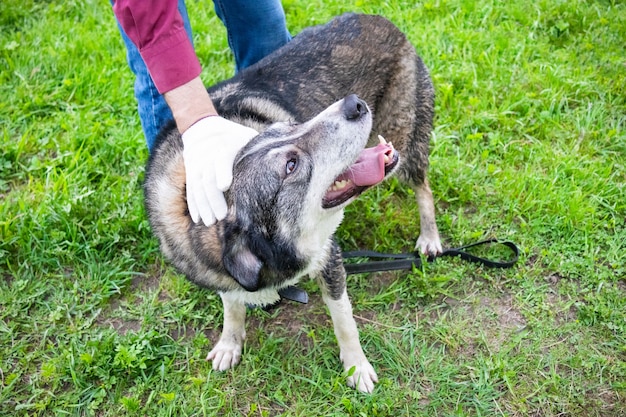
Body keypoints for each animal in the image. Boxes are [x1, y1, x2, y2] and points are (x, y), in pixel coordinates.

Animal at [144, 12, 442, 390]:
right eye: (291, 165)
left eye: (289, 126)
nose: (354, 103)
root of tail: (373, 16)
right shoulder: (219, 272)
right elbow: (231, 306)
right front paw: (230, 341)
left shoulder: (328, 257)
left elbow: (344, 321)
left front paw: (356, 367)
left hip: (405, 139)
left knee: (423, 187)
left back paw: (430, 237)